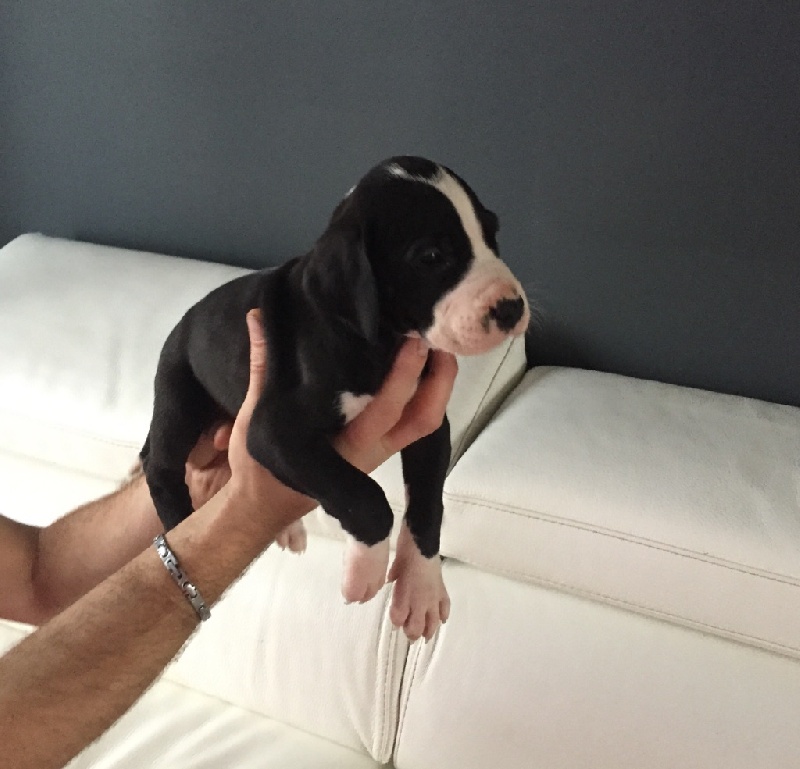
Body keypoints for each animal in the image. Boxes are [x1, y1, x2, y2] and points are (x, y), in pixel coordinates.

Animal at [141, 156, 529, 640]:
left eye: (491, 233)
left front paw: (420, 587)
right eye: (431, 257)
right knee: (158, 463)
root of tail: (185, 320)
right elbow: (364, 496)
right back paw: (181, 523)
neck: (377, 342)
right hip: (179, 395)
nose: (512, 308)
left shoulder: (430, 425)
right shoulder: (273, 431)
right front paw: (366, 568)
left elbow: (427, 504)